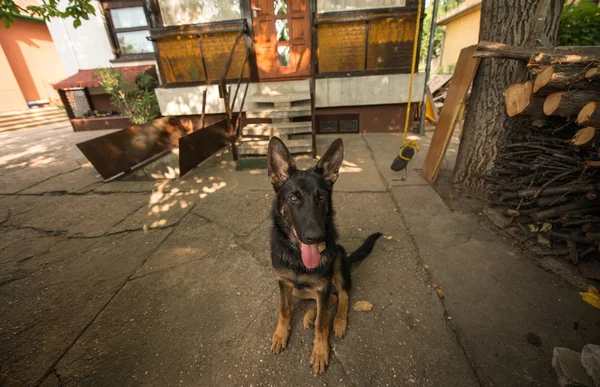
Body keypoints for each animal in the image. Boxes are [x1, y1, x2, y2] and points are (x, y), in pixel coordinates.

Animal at [266, 137, 380, 376]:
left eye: (321, 197)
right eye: (293, 197)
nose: (315, 237)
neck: (297, 256)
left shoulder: (322, 285)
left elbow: (322, 324)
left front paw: (320, 352)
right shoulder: (284, 283)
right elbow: (284, 309)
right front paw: (281, 334)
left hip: (337, 263)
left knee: (342, 295)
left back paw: (338, 321)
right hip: (300, 290)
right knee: (328, 299)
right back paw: (311, 313)